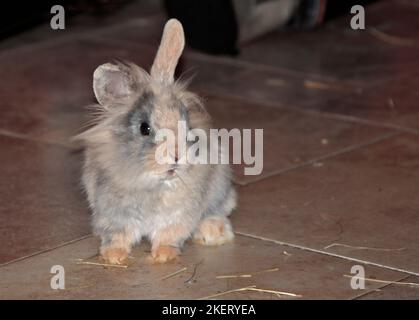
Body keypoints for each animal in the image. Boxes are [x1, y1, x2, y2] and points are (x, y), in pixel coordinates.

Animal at [77, 18, 236, 264]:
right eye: (145, 128)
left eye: (186, 125)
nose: (177, 156)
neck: (152, 183)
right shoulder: (113, 216)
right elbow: (118, 236)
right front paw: (114, 256)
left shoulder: (178, 216)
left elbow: (168, 235)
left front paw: (164, 255)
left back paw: (213, 233)